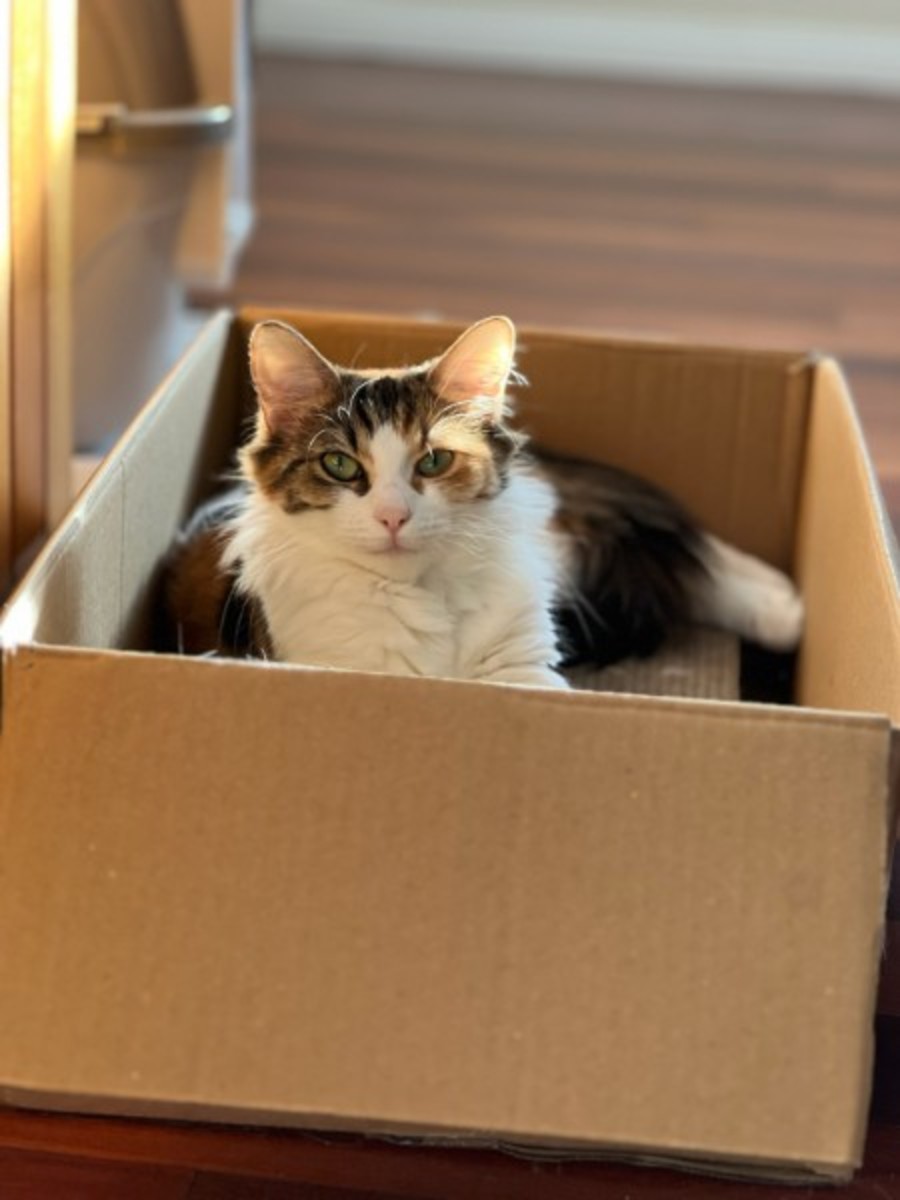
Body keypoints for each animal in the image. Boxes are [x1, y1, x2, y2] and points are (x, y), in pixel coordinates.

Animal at [160, 316, 803, 689]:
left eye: (433, 461)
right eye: (340, 466)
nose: (394, 517)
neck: (421, 599)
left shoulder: (526, 669)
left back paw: (786, 607)